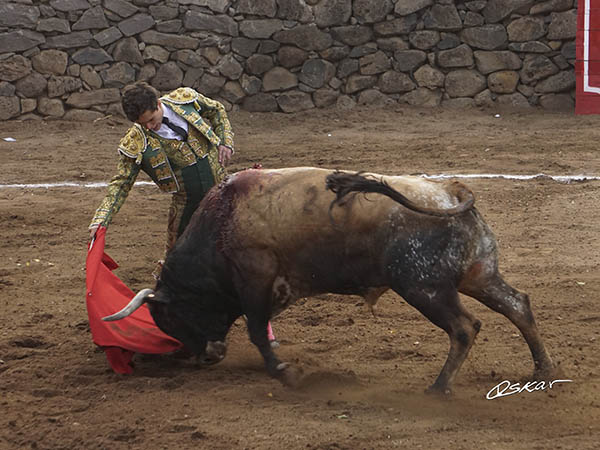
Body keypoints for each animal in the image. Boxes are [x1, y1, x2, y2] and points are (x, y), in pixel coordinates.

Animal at [103, 167, 556, 394]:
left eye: (173, 317)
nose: (206, 356)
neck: (222, 222)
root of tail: (450, 193)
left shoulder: (255, 278)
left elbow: (256, 331)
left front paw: (285, 372)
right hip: (477, 275)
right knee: (518, 305)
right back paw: (544, 371)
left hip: (423, 286)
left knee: (464, 328)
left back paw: (439, 388)